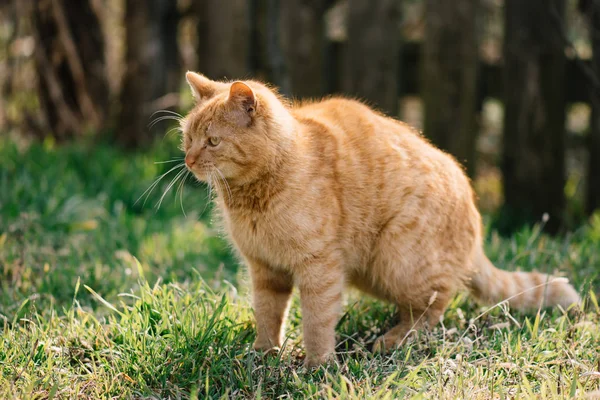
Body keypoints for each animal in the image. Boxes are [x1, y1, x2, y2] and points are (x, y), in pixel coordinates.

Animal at [180, 71, 580, 366]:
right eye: (187, 138)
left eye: (212, 142)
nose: (188, 160)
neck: (255, 195)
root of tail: (476, 227)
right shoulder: (265, 270)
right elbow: (267, 314)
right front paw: (264, 355)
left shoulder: (319, 268)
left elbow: (317, 321)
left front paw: (317, 365)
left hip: (397, 260)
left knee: (434, 306)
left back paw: (394, 339)